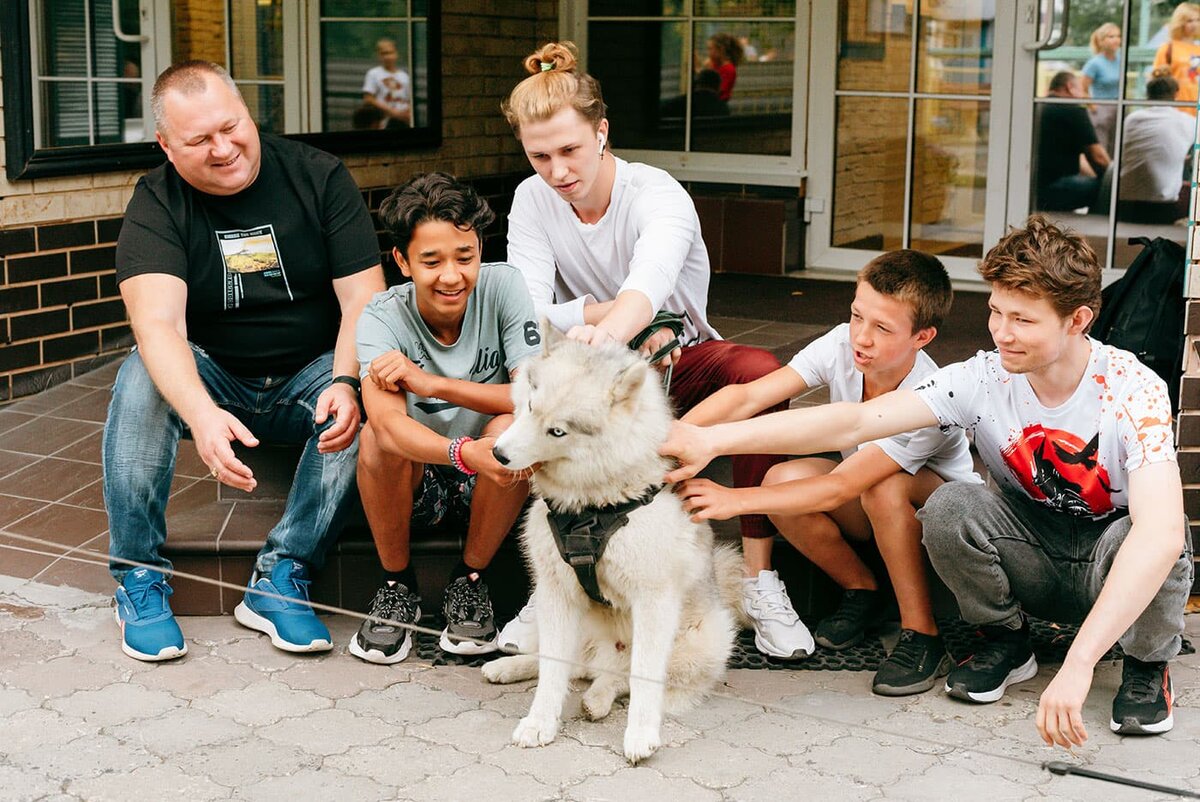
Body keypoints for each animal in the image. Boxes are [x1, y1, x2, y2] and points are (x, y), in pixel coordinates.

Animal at [477, 326, 739, 763]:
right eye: (529, 406)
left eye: (558, 430)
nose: (497, 454)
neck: (593, 506)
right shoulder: (556, 591)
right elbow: (552, 672)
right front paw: (540, 722)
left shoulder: (654, 600)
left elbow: (644, 677)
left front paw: (641, 734)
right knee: (572, 666)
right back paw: (512, 668)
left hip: (705, 641)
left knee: (619, 678)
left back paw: (598, 699)